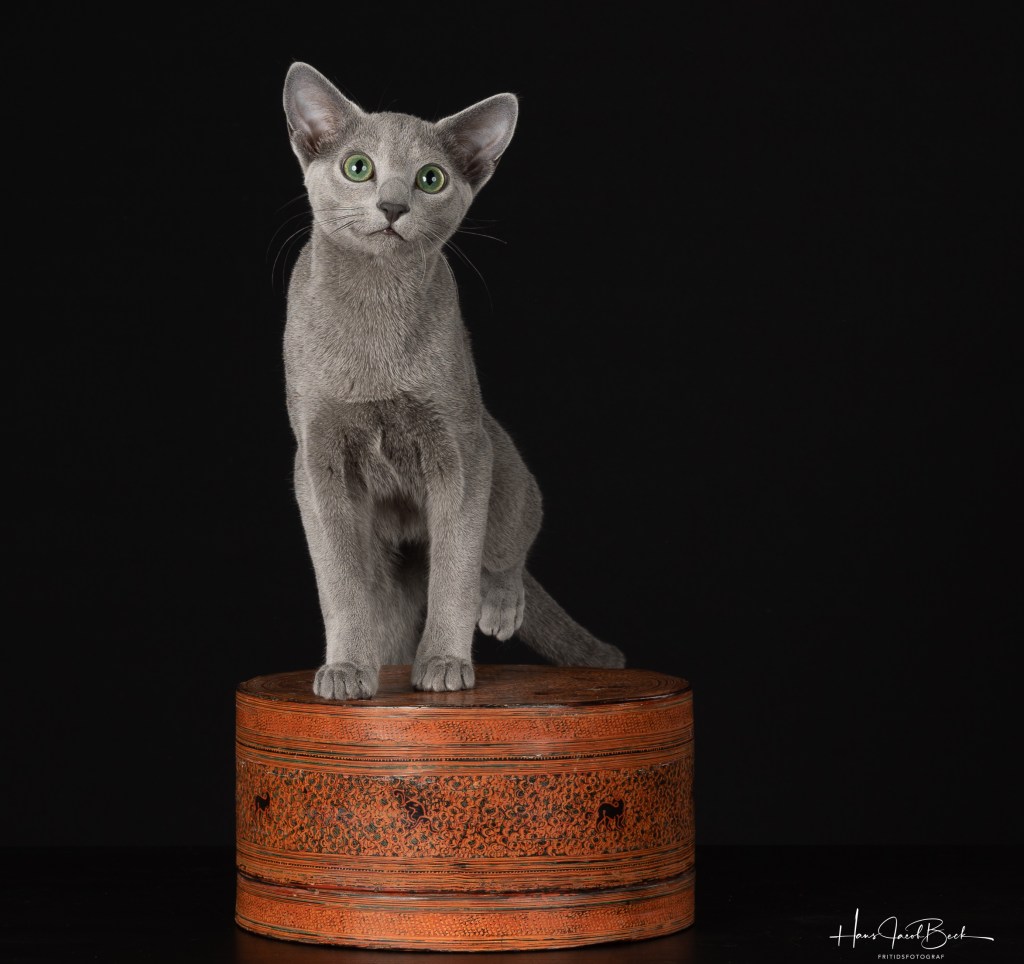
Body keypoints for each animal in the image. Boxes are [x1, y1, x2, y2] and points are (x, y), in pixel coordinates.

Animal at [282, 62, 625, 699]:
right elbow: (338, 579)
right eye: (358, 167)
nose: (393, 205)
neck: (377, 307)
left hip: (502, 458)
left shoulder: (460, 448)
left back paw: (501, 605)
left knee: (510, 547)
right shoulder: (316, 460)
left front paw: (443, 663)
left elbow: (457, 567)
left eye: (431, 178)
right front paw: (346, 670)